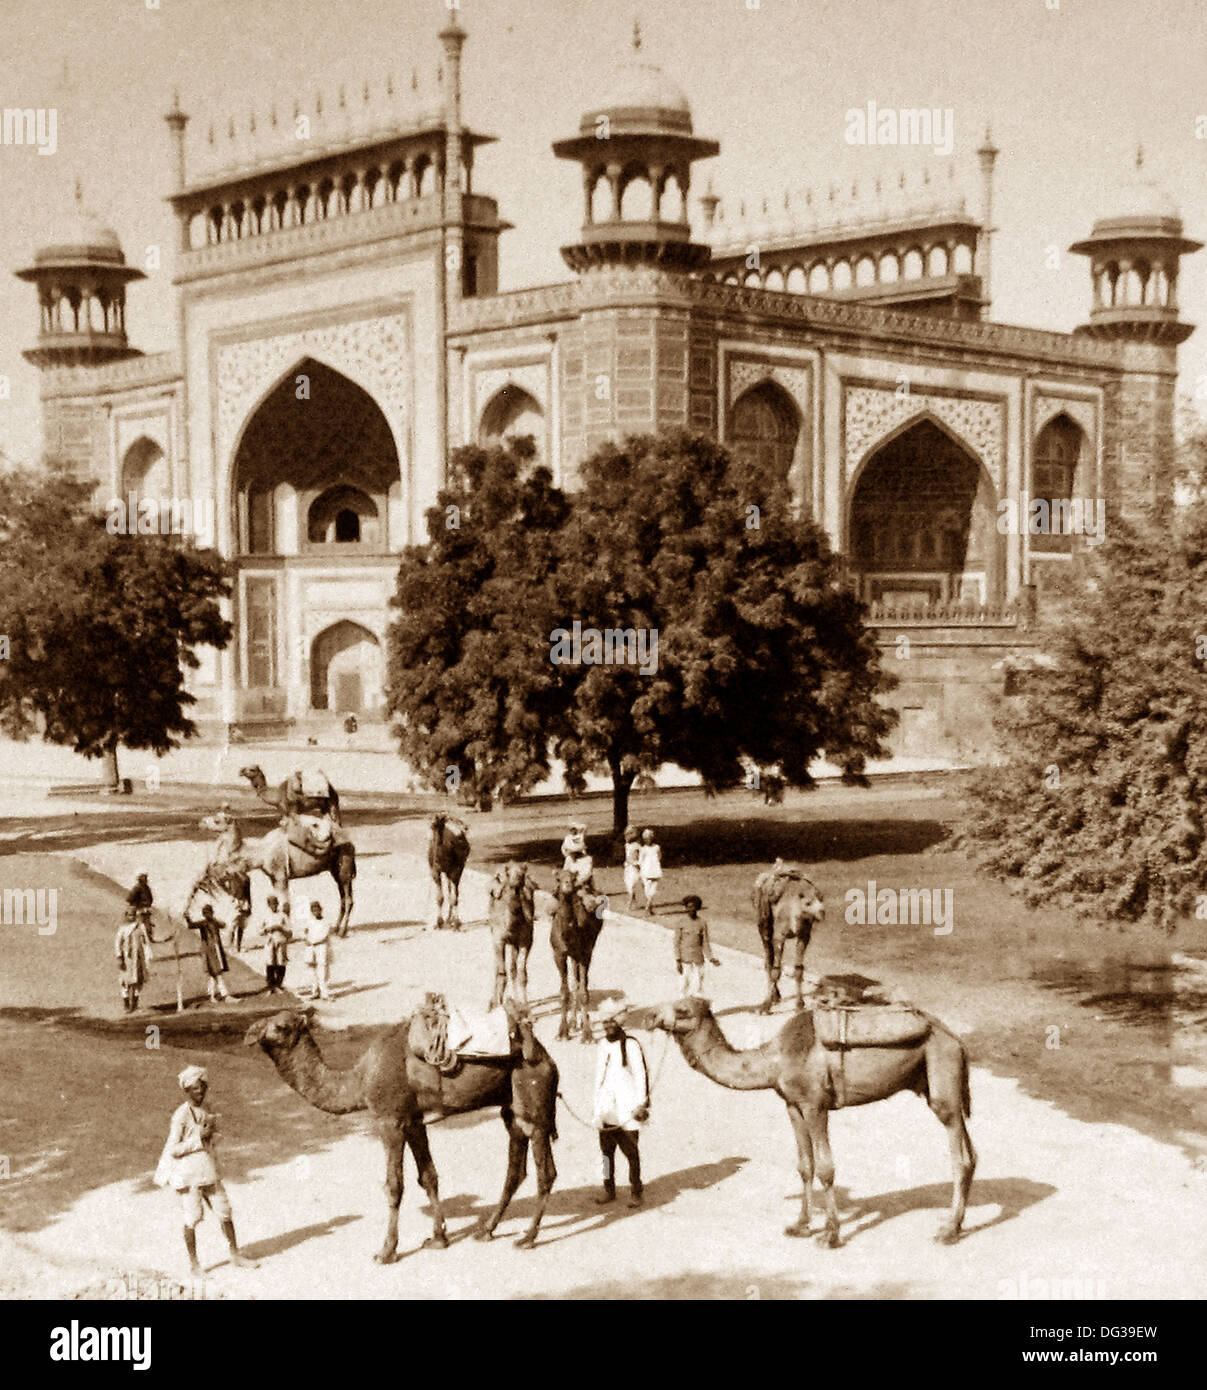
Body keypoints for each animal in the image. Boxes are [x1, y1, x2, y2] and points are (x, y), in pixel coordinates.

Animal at [246, 1011, 564, 1262]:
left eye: (281, 1026)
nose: (250, 1034)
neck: (358, 1080)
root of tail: (547, 1058)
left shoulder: (390, 1121)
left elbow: (394, 1186)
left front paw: (386, 1251)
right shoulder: (413, 1122)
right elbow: (428, 1176)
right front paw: (438, 1238)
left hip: (533, 1097)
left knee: (545, 1172)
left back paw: (528, 1238)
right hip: (512, 1109)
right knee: (515, 1170)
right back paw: (487, 1230)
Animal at [486, 861, 533, 1006]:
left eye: (522, 872)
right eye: (508, 873)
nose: (518, 879)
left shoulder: (525, 940)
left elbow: (522, 973)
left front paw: (524, 1003)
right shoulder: (498, 940)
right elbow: (502, 973)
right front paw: (496, 1004)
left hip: (514, 944)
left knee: (513, 968)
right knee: (498, 968)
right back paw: (493, 1000)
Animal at [550, 867, 603, 1045]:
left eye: (573, 878)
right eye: (558, 878)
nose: (567, 885)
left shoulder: (584, 953)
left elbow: (584, 993)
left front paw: (588, 1035)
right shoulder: (559, 954)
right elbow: (564, 993)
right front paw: (562, 1032)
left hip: (587, 950)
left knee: (581, 983)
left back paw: (580, 1022)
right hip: (573, 956)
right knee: (575, 981)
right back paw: (573, 1023)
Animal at [656, 989, 973, 1251]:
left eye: (682, 1010)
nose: (652, 1016)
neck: (774, 1060)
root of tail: (956, 1039)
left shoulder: (815, 1105)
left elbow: (825, 1168)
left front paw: (830, 1235)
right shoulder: (792, 1105)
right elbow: (805, 1166)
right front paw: (800, 1225)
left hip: (942, 1072)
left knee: (959, 1157)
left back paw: (947, 1231)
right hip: (935, 1084)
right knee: (971, 1154)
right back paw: (957, 1225)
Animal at [750, 856, 823, 1011]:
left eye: (821, 899)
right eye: (808, 903)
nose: (822, 912)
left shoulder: (804, 935)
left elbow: (799, 969)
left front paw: (800, 1003)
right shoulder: (779, 936)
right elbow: (776, 970)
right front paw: (765, 1006)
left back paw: (776, 996)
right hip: (764, 925)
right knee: (768, 961)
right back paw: (774, 997)